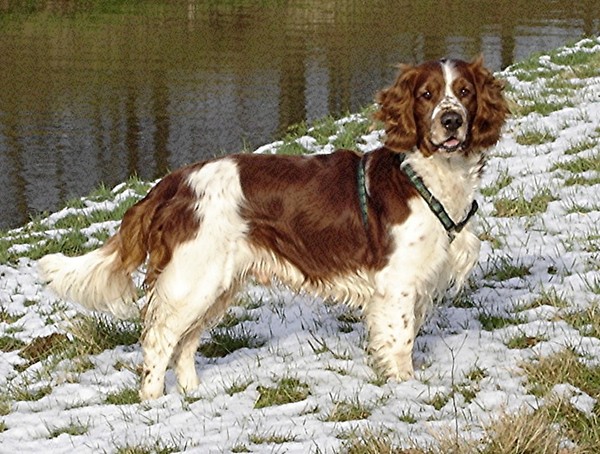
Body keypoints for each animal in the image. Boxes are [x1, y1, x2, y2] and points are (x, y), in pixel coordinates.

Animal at [38, 57, 506, 400]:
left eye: (464, 92)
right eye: (427, 95)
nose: (451, 120)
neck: (431, 175)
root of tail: (173, 182)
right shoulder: (397, 285)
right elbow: (401, 341)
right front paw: (406, 388)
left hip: (217, 285)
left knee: (185, 343)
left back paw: (194, 396)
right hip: (194, 279)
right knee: (160, 340)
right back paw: (154, 402)